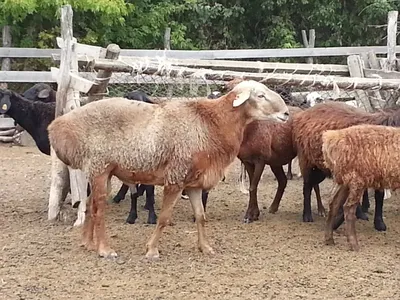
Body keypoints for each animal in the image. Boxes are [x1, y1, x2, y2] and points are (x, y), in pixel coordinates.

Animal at [48, 80, 290, 260]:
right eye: (260, 95)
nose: (287, 113)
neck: (214, 124)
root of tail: (57, 126)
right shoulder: (175, 177)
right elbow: (164, 218)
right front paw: (152, 250)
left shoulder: (193, 182)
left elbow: (201, 216)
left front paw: (205, 247)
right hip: (99, 167)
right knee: (99, 210)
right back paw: (105, 250)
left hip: (104, 172)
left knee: (91, 205)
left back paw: (88, 243)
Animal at [290, 99, 400, 231]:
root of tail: (302, 114)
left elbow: (379, 196)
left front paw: (379, 223)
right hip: (307, 161)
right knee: (307, 187)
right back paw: (307, 216)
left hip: (321, 168)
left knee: (313, 185)